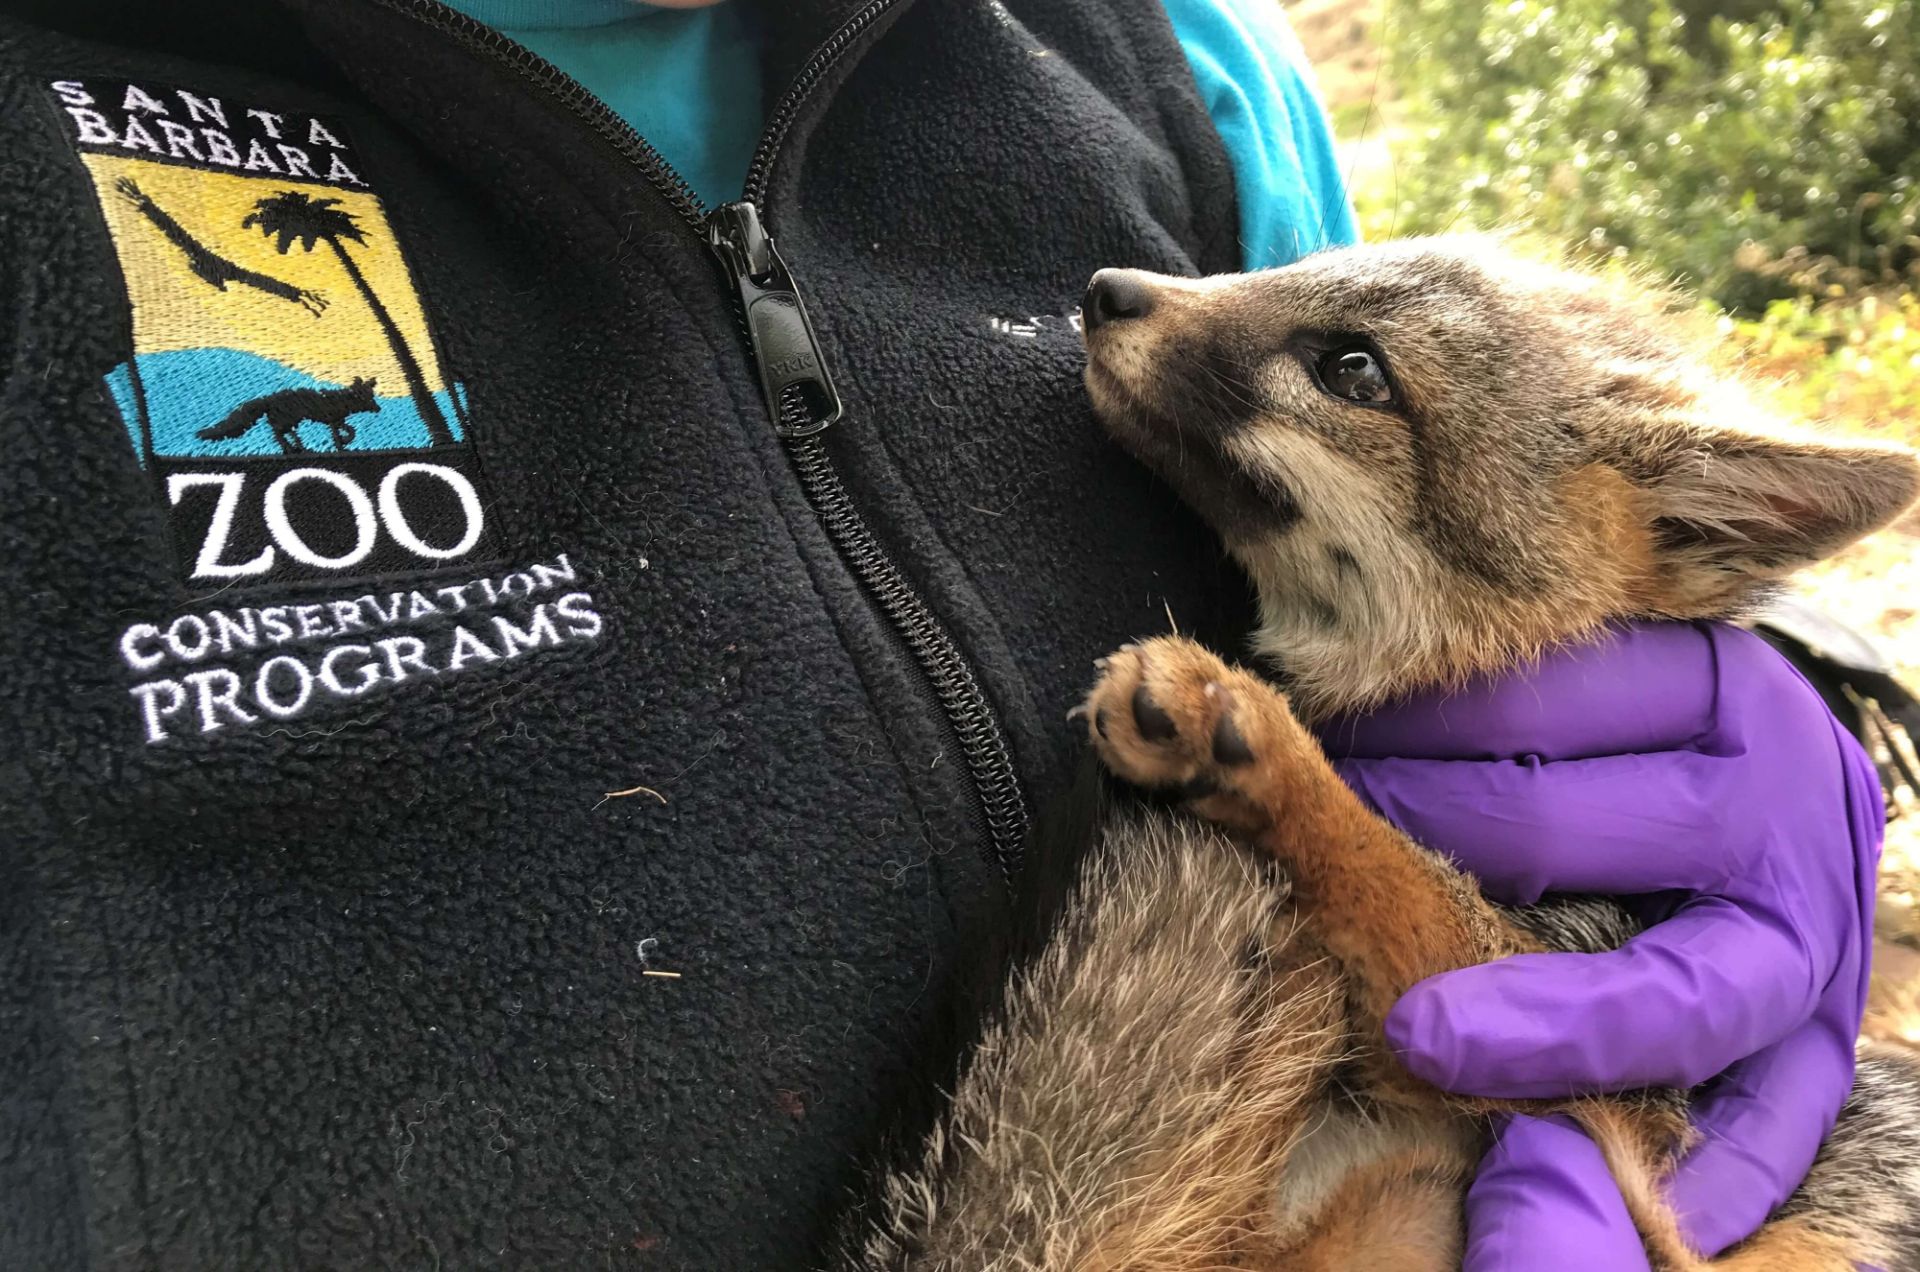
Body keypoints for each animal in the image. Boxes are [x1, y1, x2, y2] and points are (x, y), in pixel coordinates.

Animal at [834, 239, 1920, 1271]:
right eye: (1295, 266)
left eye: (1354, 369)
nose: (1106, 287)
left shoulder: (1550, 1040)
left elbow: (1388, 867)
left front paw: (1259, 749)